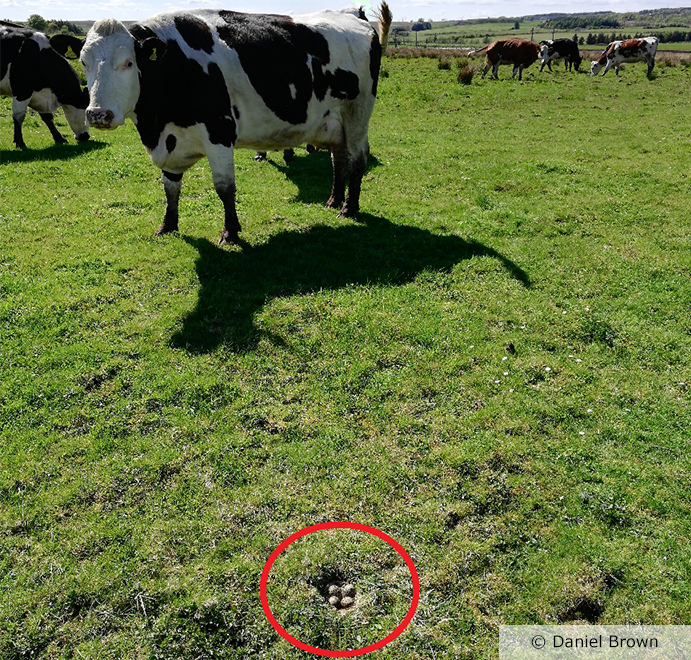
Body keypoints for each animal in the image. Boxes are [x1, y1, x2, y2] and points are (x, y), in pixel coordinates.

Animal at [0, 21, 89, 150]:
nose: (86, 136)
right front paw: (20, 142)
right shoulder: (22, 90)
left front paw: (59, 138)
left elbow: (47, 117)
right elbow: (18, 117)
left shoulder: (38, 95)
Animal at [79, 7, 390, 245]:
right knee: (338, 158)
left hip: (357, 114)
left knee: (357, 159)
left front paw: (230, 232)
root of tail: (353, 14)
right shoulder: (170, 141)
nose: (98, 114)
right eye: (83, 63)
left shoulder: (219, 133)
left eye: (129, 63)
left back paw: (349, 208)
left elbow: (224, 188)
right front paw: (167, 226)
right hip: (333, 122)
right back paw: (333, 200)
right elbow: (170, 188)